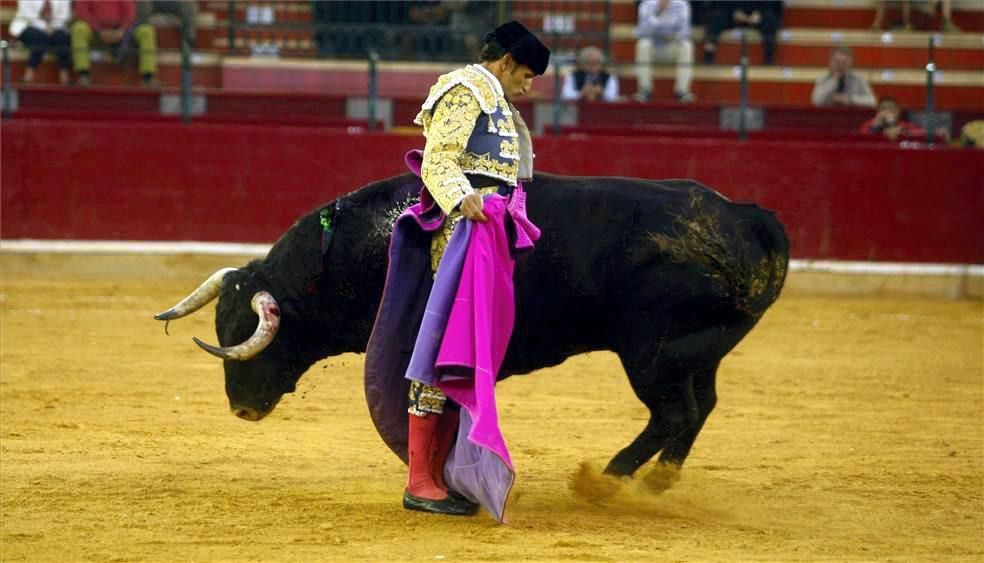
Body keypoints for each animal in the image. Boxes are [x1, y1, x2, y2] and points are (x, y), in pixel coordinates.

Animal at [158, 173, 788, 480]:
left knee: (675, 412)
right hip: (697, 351)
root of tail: (746, 217)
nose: (241, 409)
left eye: (259, 340)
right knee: (700, 407)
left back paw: (609, 479)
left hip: (652, 351)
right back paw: (657, 481)